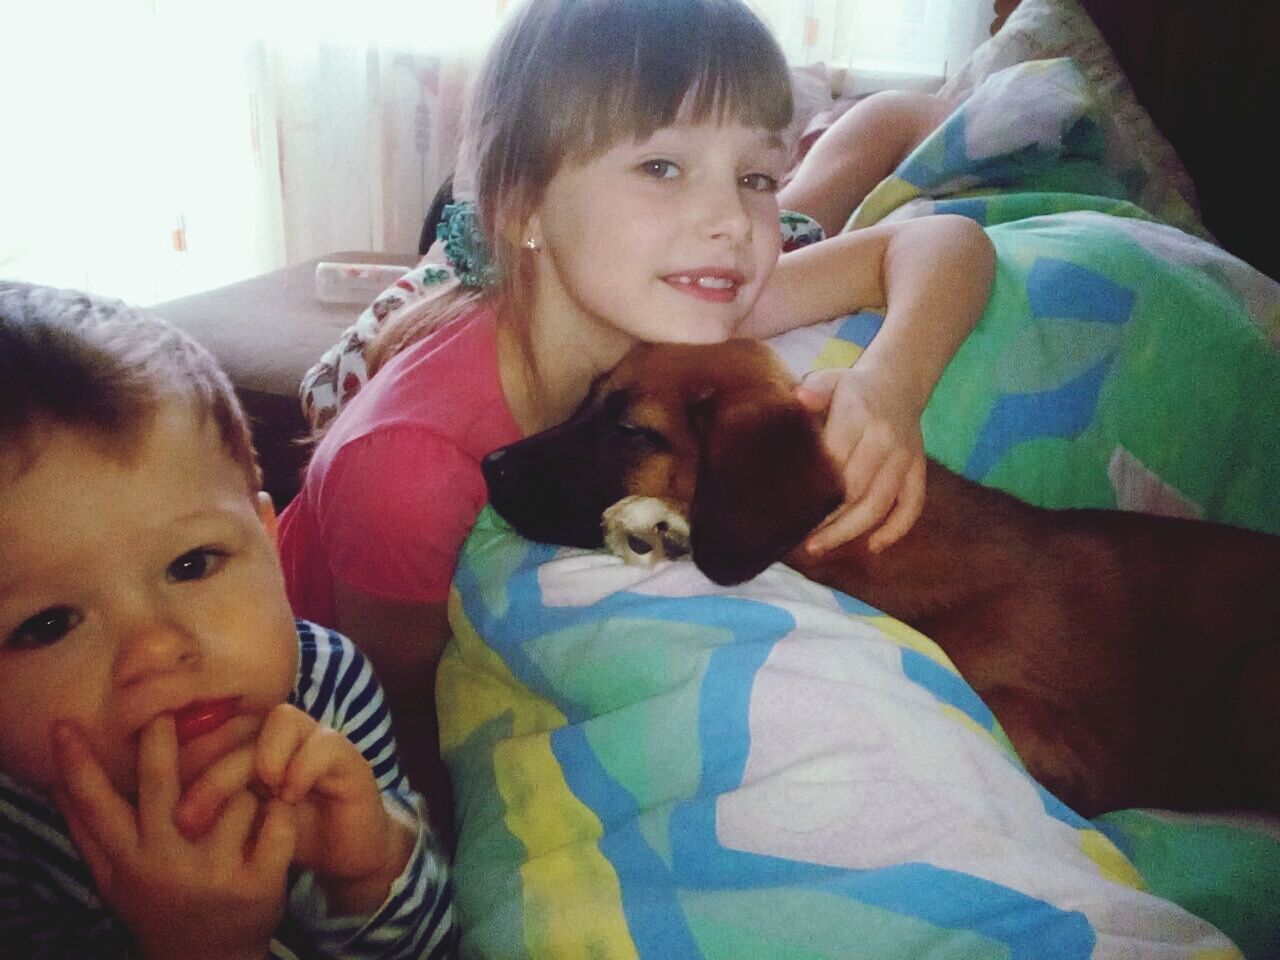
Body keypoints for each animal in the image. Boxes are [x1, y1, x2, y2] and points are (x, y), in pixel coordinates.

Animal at [481, 340, 1280, 819]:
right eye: (583, 403)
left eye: (630, 431)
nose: (489, 466)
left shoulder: (1077, 755)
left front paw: (659, 520)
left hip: (1253, 683)